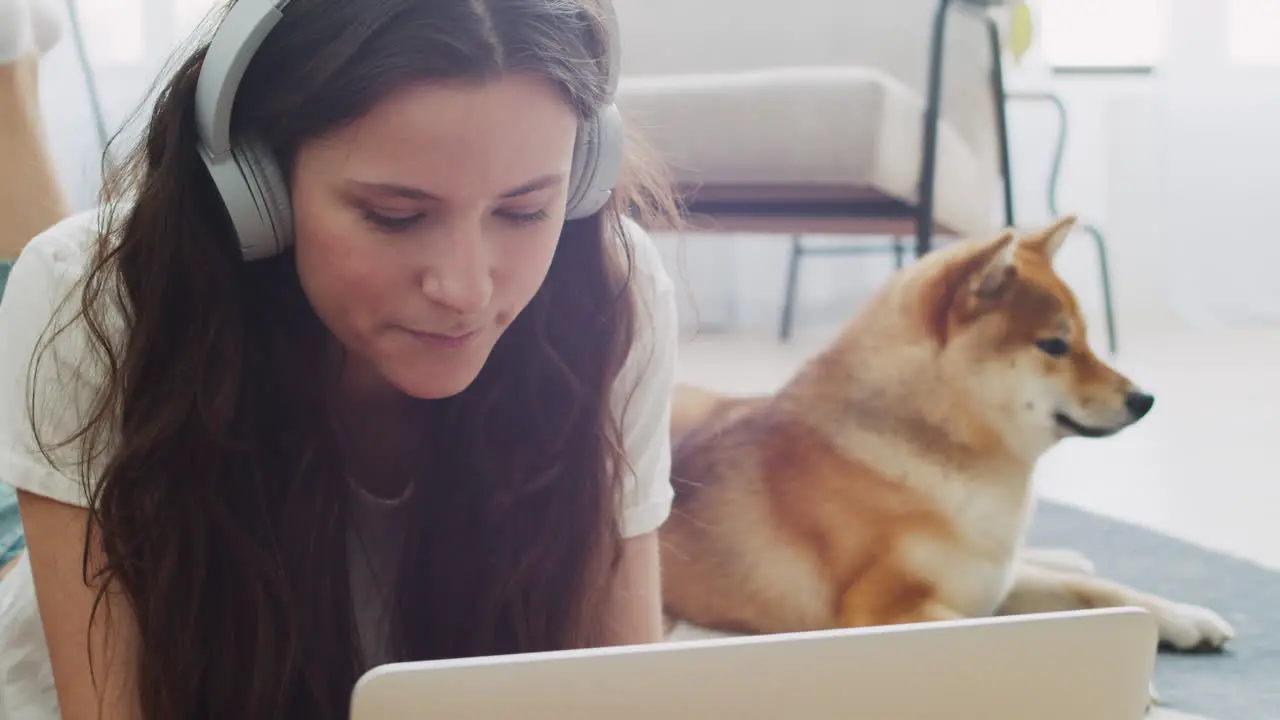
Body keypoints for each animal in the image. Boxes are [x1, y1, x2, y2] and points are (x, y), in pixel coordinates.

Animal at [660, 217, 1228, 661]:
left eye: (1087, 340)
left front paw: (1182, 617)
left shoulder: (992, 576)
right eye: (1054, 345)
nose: (1144, 398)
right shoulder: (886, 606)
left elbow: (1094, 588)